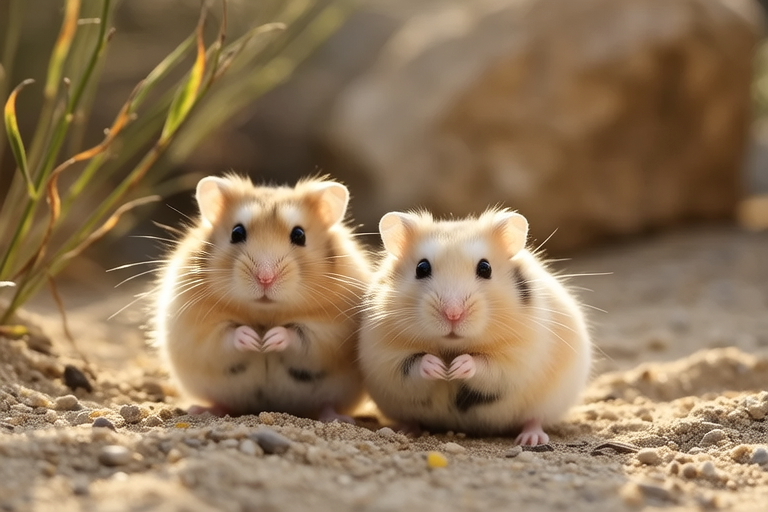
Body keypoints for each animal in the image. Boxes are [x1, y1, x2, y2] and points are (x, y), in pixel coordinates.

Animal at [152, 174, 370, 422]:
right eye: (236, 233)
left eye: (299, 235)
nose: (265, 278)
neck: (266, 312)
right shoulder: (199, 328)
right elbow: (225, 335)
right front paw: (255, 340)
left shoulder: (330, 334)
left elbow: (300, 334)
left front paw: (268, 341)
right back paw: (200, 410)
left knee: (325, 405)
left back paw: (339, 418)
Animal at [358, 209, 592, 444]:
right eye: (421, 268)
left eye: (485, 268)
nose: (453, 314)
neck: (451, 348)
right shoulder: (386, 358)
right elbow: (413, 364)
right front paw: (440, 368)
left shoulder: (517, 358)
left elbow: (487, 366)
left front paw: (456, 368)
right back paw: (405, 431)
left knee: (534, 419)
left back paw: (531, 439)